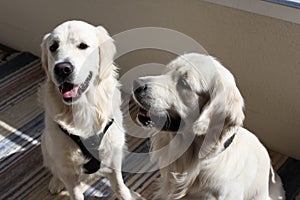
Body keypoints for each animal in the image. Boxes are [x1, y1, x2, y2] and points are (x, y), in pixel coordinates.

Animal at [39, 20, 142, 200]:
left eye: (83, 46)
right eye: (53, 47)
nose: (62, 68)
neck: (83, 109)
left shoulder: (113, 154)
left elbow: (119, 184)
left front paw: (126, 194)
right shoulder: (67, 169)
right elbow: (74, 191)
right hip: (46, 142)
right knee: (55, 168)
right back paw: (56, 183)